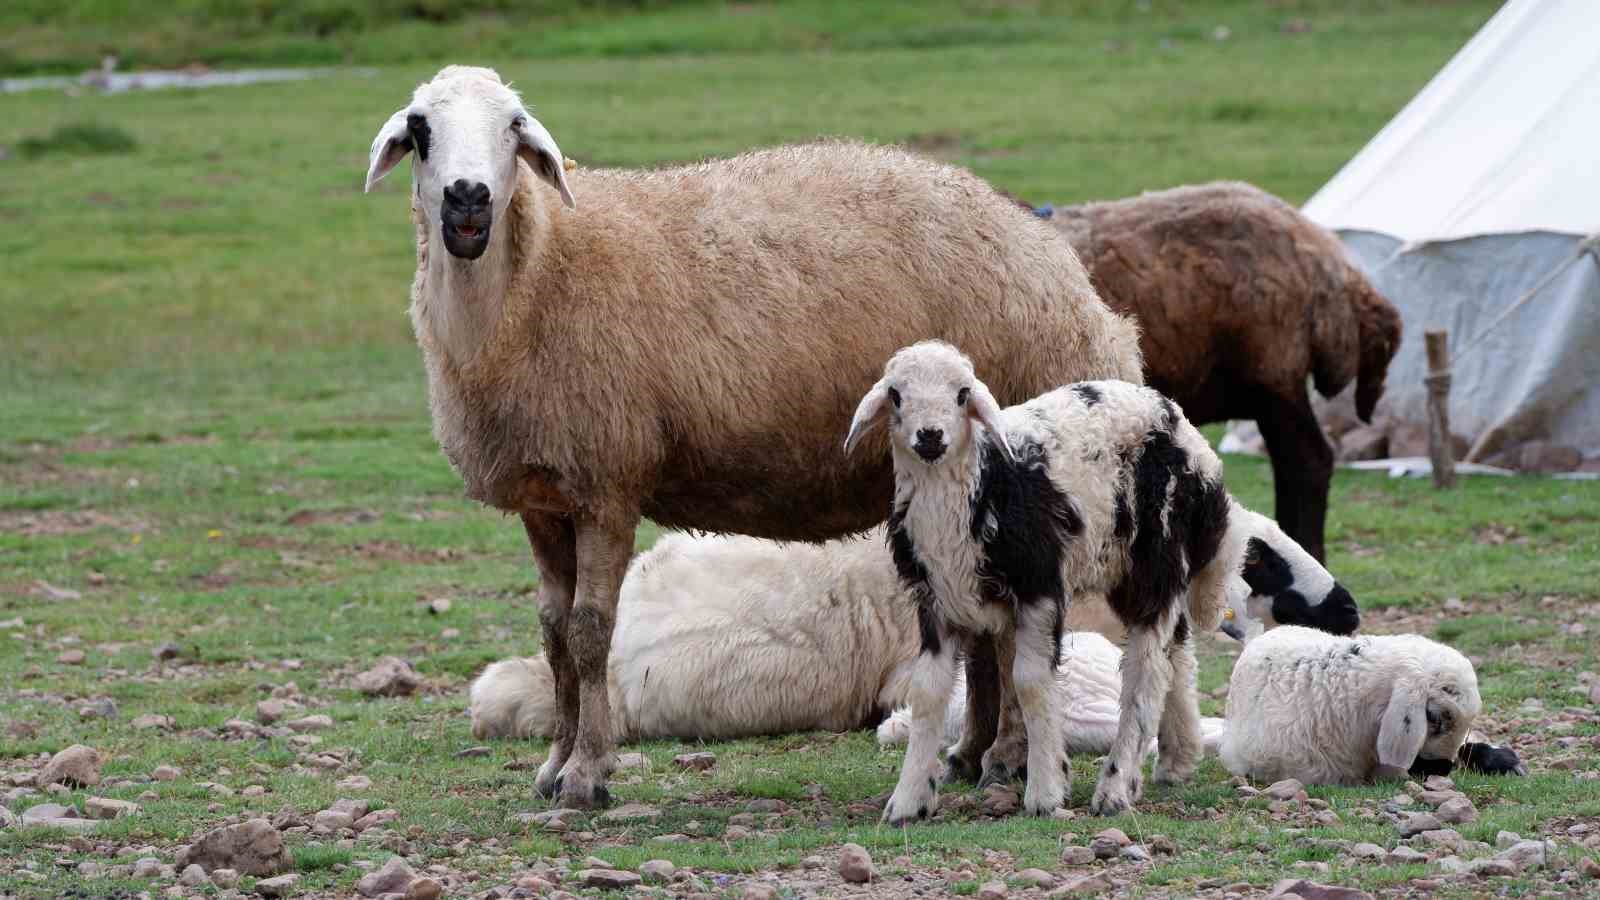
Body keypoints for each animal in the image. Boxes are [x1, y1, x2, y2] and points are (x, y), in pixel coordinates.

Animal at [364, 64, 1145, 807]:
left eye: (514, 126)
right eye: (420, 128)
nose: (468, 198)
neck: (539, 274)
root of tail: (1068, 275)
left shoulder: (607, 483)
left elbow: (590, 634)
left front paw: (587, 774)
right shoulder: (545, 496)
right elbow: (555, 634)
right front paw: (554, 764)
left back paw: (1008, 756)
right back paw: (973, 754)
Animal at [844, 337, 1356, 819]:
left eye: (962, 394)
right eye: (895, 395)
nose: (930, 437)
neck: (984, 486)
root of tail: (1176, 419)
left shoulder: (1041, 587)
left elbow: (1031, 683)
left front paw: (1046, 790)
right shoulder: (935, 600)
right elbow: (929, 692)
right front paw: (909, 799)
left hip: (1156, 559)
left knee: (1147, 673)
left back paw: (1116, 785)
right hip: (1131, 569)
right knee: (1177, 653)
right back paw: (1177, 757)